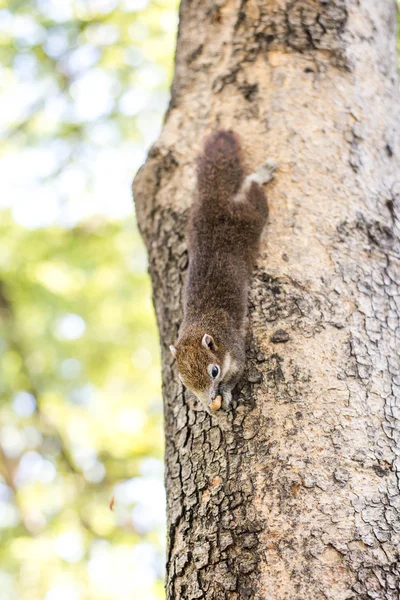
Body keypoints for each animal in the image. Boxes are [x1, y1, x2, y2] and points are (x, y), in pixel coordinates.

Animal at [169, 130, 276, 412]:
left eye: (214, 372)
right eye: (183, 381)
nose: (208, 401)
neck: (202, 325)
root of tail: (214, 201)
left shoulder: (235, 349)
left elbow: (236, 374)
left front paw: (225, 394)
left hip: (249, 218)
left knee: (253, 191)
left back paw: (263, 172)